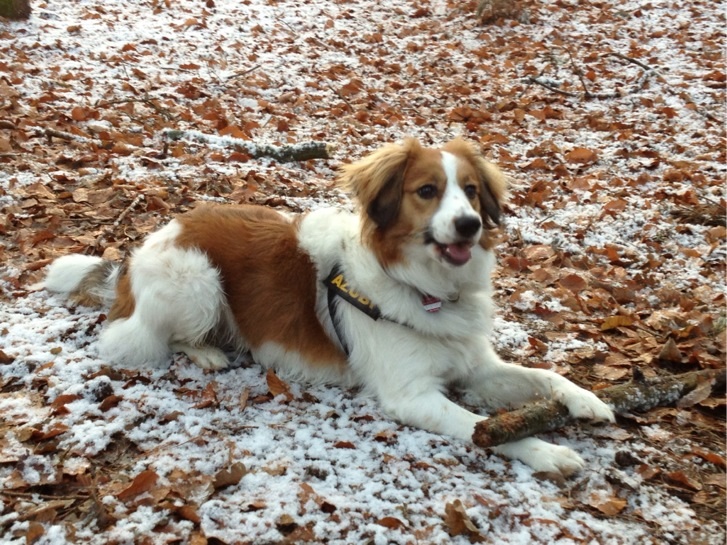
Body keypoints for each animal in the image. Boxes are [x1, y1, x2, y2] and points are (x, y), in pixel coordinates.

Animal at [42, 137, 616, 476]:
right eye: (427, 191)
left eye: (472, 192)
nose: (470, 225)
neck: (424, 288)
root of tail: (139, 252)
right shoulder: (411, 396)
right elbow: (483, 430)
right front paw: (548, 452)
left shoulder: (476, 365)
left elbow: (543, 375)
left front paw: (586, 399)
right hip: (199, 281)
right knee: (150, 338)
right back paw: (207, 352)